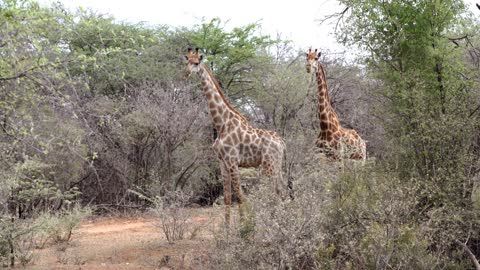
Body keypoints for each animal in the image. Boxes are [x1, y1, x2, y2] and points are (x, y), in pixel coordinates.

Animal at [184, 48, 286, 226]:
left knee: (276, 194)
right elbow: (227, 197)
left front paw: (244, 227)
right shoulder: (222, 163)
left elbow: (239, 195)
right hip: (276, 166)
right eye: (186, 61)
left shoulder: (232, 161)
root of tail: (281, 142)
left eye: (196, 63)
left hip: (269, 166)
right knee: (282, 192)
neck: (222, 124)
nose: (186, 74)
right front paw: (227, 228)